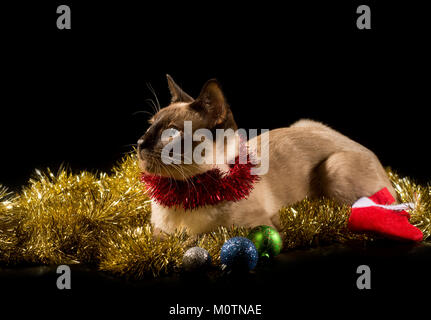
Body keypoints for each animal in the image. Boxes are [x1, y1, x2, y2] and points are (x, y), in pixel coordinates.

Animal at [137, 75, 396, 235]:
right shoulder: (159, 231)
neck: (185, 194)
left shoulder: (258, 226)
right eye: (149, 125)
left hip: (335, 167)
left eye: (171, 134)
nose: (139, 144)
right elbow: (163, 238)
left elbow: (198, 239)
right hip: (304, 123)